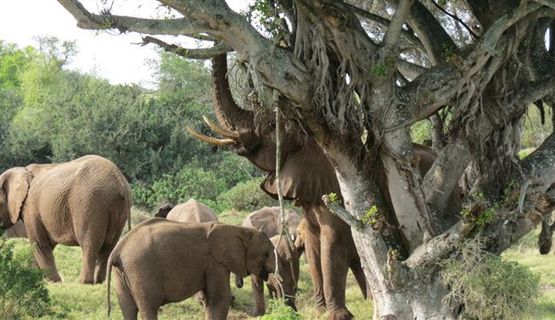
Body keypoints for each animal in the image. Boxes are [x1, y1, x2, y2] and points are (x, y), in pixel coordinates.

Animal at [0, 154, 132, 282]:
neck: (22, 171)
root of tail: (120, 181)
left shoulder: (31, 208)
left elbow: (40, 244)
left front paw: (52, 282)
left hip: (89, 204)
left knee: (89, 244)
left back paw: (83, 282)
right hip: (116, 208)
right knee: (108, 247)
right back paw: (99, 282)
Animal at [106, 219, 276, 320]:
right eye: (266, 254)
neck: (238, 229)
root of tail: (118, 249)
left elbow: (210, 300)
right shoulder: (215, 262)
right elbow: (220, 298)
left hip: (122, 273)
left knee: (128, 309)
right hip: (141, 270)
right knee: (148, 308)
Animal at [189, 52, 462, 318]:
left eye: (271, 125)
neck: (314, 140)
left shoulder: (335, 189)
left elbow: (332, 241)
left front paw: (337, 316)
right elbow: (313, 244)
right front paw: (321, 311)